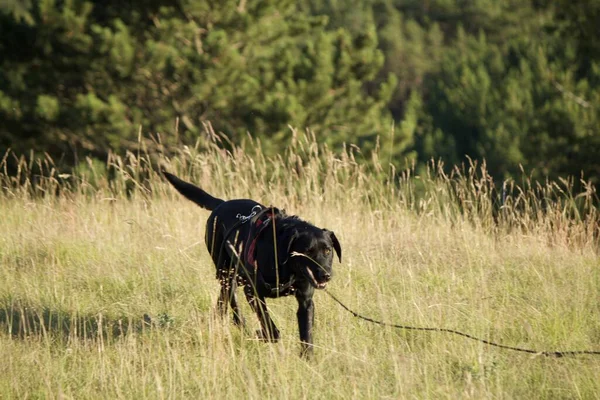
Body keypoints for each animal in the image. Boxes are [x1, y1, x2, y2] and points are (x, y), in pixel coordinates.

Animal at [163, 172, 342, 356]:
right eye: (307, 252)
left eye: (327, 251)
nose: (325, 275)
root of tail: (221, 204)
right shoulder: (252, 292)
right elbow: (271, 329)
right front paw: (261, 334)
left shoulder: (306, 301)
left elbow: (307, 334)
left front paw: (307, 358)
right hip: (225, 270)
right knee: (231, 295)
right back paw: (239, 321)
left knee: (223, 298)